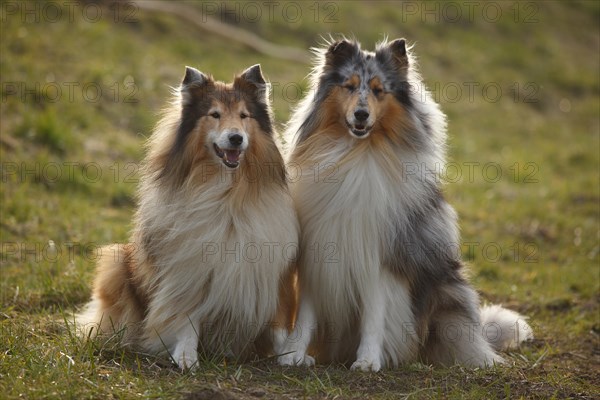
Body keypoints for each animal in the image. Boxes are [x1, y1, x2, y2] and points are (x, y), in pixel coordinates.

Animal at [77, 65, 298, 368]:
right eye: (214, 114)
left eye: (244, 116)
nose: (236, 138)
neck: (226, 192)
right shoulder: (188, 270)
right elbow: (186, 317)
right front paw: (185, 356)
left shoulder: (269, 270)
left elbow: (276, 324)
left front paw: (291, 354)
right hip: (117, 261)